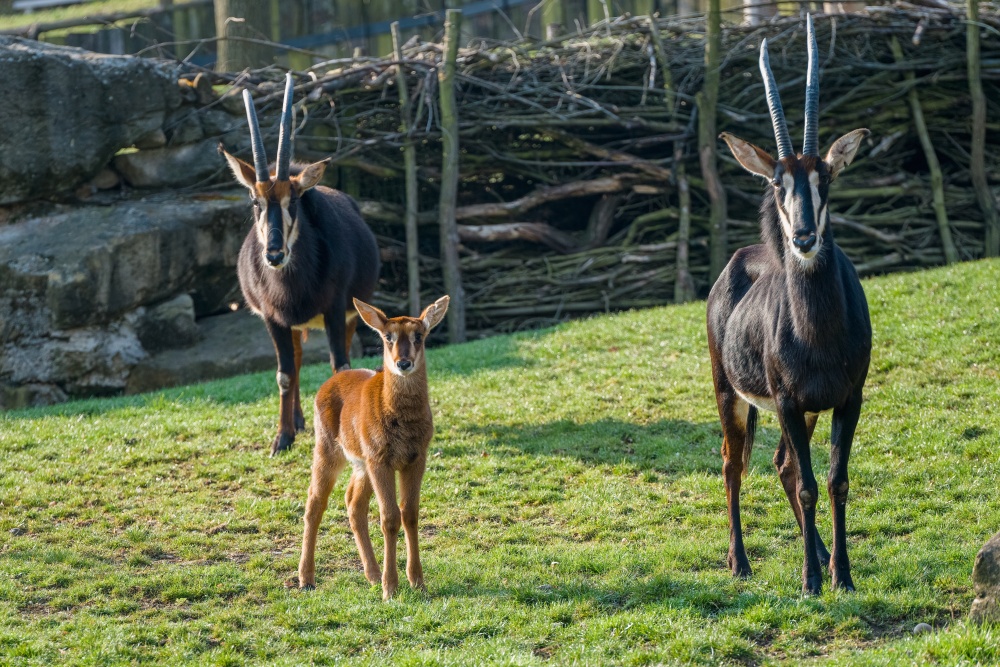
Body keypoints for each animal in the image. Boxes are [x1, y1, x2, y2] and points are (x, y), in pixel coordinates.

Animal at [221, 74, 380, 460]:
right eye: (255, 201)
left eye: (293, 200)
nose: (274, 255)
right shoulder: (273, 318)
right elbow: (284, 373)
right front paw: (282, 437)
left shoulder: (335, 309)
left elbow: (340, 366)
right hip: (291, 324)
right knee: (294, 359)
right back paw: (296, 421)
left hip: (349, 314)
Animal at [296, 296, 450, 600]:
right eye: (388, 336)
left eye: (419, 335)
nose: (404, 362)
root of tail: (326, 384)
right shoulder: (382, 460)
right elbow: (389, 517)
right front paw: (390, 589)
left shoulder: (416, 458)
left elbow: (409, 514)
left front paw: (418, 582)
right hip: (328, 449)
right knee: (315, 502)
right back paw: (306, 579)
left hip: (361, 463)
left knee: (353, 503)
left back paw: (372, 574)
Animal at [708, 17, 872, 596]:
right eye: (778, 183)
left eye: (825, 176)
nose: (803, 237)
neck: (817, 331)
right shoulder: (787, 401)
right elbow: (807, 484)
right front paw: (810, 583)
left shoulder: (847, 398)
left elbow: (834, 481)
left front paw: (841, 575)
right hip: (732, 394)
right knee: (734, 464)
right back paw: (739, 562)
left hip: (797, 410)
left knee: (781, 463)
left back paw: (819, 552)